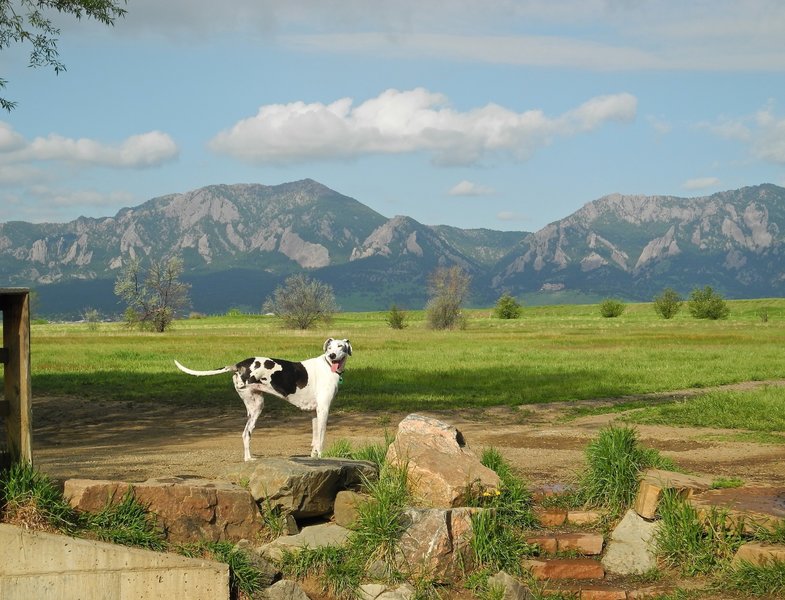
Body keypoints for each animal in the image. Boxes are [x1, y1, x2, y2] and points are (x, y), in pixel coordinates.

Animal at [178, 340, 352, 462]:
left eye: (341, 346)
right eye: (329, 348)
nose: (332, 356)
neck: (328, 366)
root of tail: (239, 365)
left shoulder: (315, 413)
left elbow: (315, 440)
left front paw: (315, 456)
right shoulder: (324, 410)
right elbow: (321, 438)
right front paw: (322, 456)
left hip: (255, 406)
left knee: (245, 434)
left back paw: (248, 458)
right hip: (257, 407)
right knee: (246, 433)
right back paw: (249, 459)